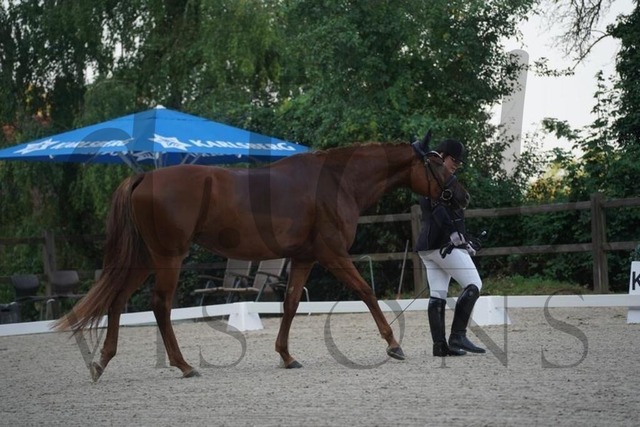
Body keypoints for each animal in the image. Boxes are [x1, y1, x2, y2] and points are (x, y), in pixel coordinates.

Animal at [53, 132, 469, 381]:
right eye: (437, 163)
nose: (461, 196)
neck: (335, 182)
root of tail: (143, 179)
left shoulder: (303, 258)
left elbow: (290, 304)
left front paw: (286, 355)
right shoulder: (332, 253)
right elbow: (366, 292)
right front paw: (393, 344)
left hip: (144, 258)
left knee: (117, 300)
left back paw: (101, 361)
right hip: (168, 256)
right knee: (159, 305)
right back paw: (183, 365)